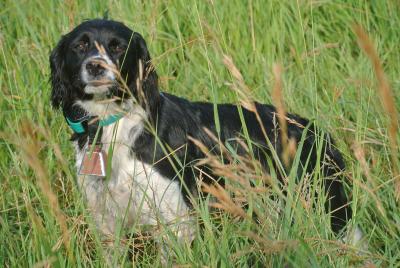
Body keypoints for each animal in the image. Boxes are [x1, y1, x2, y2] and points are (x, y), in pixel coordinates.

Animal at [50, 18, 354, 260]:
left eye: (117, 47)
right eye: (80, 46)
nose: (96, 66)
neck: (114, 124)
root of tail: (312, 129)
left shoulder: (174, 219)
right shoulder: (105, 219)